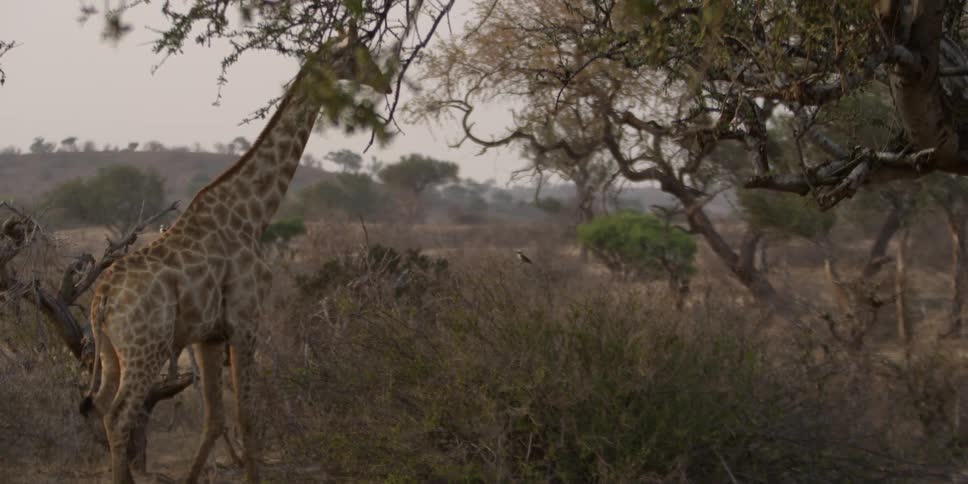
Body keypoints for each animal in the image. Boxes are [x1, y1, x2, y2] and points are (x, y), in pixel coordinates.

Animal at [78, 32, 391, 484]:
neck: (253, 215)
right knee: (120, 415)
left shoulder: (208, 335)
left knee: (102, 408)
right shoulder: (246, 319)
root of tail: (102, 297)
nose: (385, 84)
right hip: (146, 347)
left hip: (111, 351)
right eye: (357, 56)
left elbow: (214, 419)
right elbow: (246, 415)